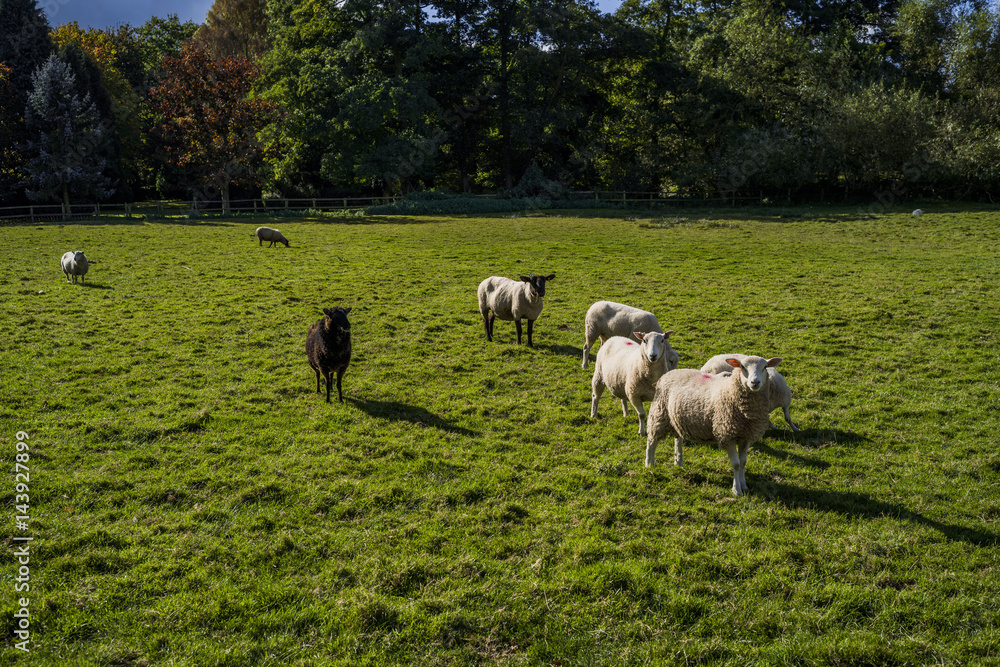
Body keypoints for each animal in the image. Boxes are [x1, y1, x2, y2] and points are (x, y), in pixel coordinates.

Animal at [645, 355, 782, 497]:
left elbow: (743, 462)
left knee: (678, 439)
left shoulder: (746, 437)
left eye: (765, 367)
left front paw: (744, 486)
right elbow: (736, 464)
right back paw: (649, 464)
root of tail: (671, 372)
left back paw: (679, 463)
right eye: (742, 367)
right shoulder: (727, 435)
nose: (755, 382)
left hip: (677, 418)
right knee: (652, 441)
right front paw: (737, 490)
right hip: (659, 413)